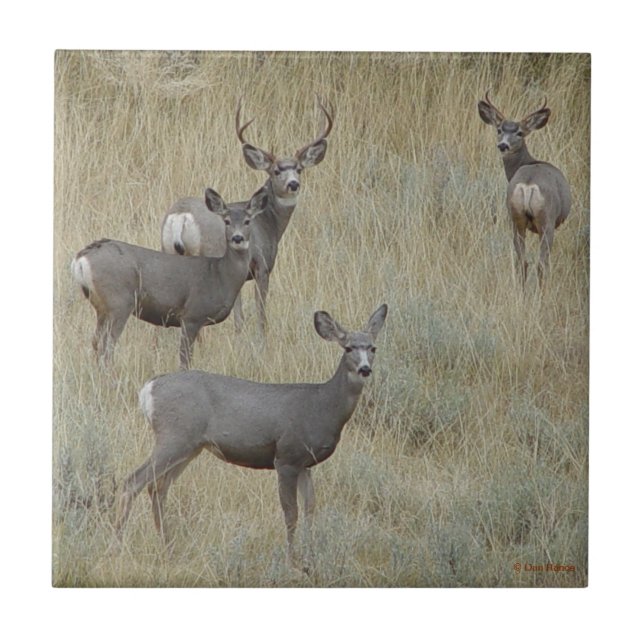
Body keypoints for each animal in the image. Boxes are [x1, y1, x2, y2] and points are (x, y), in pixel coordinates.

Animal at [71, 187, 267, 370]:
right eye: (226, 221)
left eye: (247, 221)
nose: (237, 238)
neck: (220, 275)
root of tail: (81, 259)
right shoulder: (192, 315)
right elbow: (184, 359)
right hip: (119, 302)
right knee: (108, 346)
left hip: (101, 307)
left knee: (96, 341)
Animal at [115, 303, 388, 571]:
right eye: (348, 347)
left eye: (373, 347)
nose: (365, 369)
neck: (323, 406)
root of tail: (148, 389)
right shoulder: (286, 456)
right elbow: (291, 512)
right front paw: (292, 561)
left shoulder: (305, 464)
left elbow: (310, 508)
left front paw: (311, 558)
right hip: (174, 436)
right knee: (133, 482)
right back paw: (119, 543)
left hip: (190, 446)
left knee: (158, 487)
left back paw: (168, 548)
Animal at [160, 97, 333, 336]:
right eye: (276, 171)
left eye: (299, 169)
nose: (293, 184)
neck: (268, 224)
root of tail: (180, 216)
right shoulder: (261, 264)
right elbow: (259, 312)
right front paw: (261, 338)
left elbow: (239, 314)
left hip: (166, 250)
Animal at [478, 92, 572, 287]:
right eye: (499, 130)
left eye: (519, 132)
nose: (503, 145)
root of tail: (528, 185)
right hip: (546, 220)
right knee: (541, 264)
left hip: (515, 217)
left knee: (523, 261)